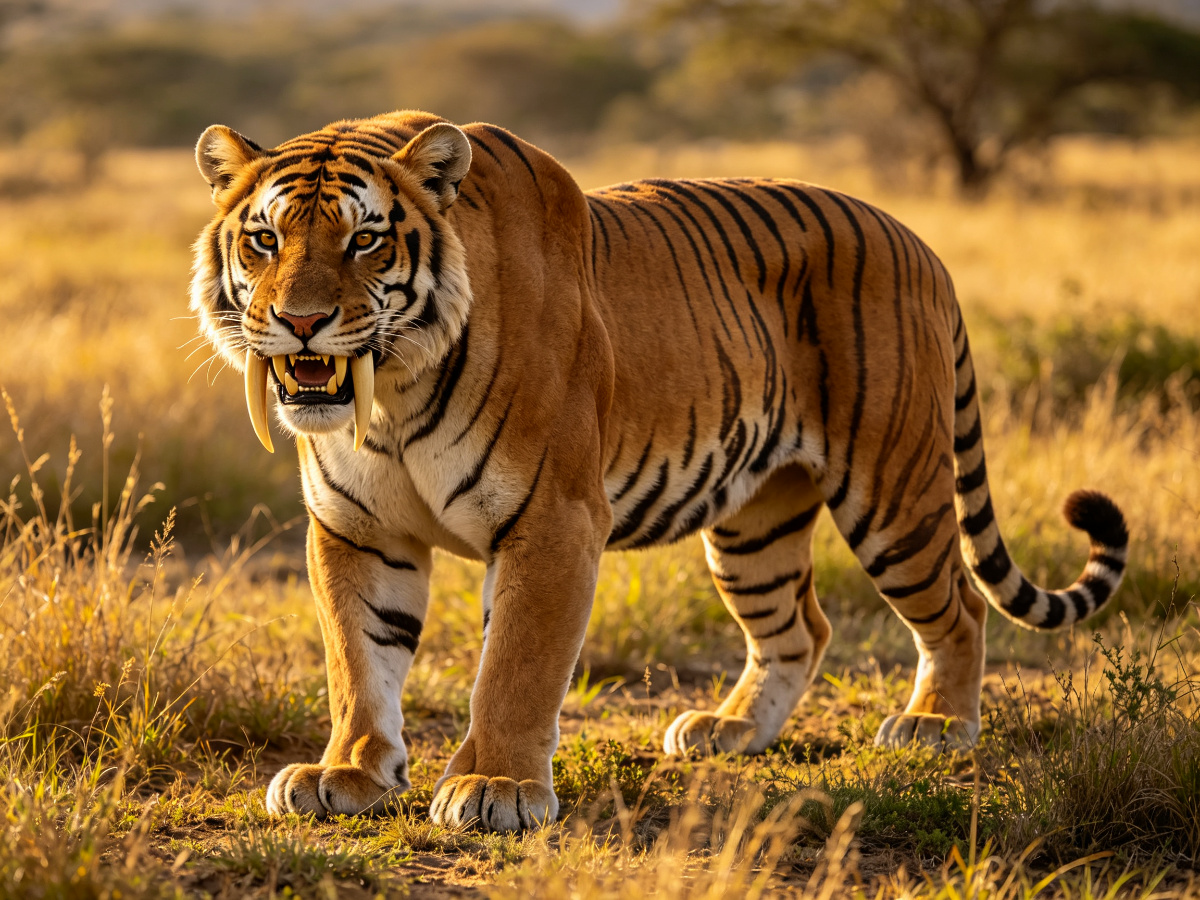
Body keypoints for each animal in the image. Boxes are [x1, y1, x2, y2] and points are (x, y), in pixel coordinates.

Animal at [190, 110, 1129, 832]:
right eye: (265, 239)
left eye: (366, 241)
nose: (300, 322)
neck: (391, 393)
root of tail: (918, 240)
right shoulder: (358, 528)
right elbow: (359, 661)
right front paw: (345, 773)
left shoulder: (552, 519)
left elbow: (515, 668)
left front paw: (495, 788)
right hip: (754, 525)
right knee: (801, 627)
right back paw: (730, 731)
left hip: (893, 492)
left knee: (960, 605)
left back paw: (934, 725)